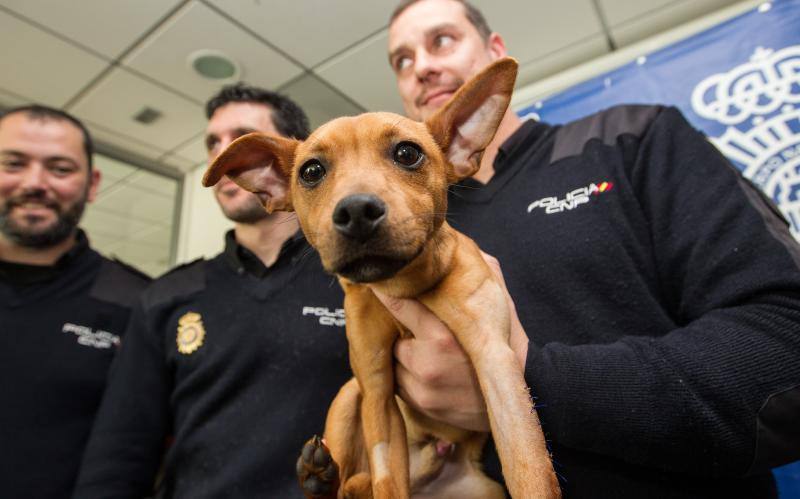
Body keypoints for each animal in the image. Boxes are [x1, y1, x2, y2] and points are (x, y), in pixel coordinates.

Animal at [203, 58, 560, 499]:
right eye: (311, 170)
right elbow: (387, 476)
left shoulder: (497, 366)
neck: (404, 287)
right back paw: (320, 475)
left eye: (407, 153)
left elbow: (531, 472)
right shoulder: (376, 392)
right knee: (350, 480)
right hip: (347, 396)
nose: (356, 211)